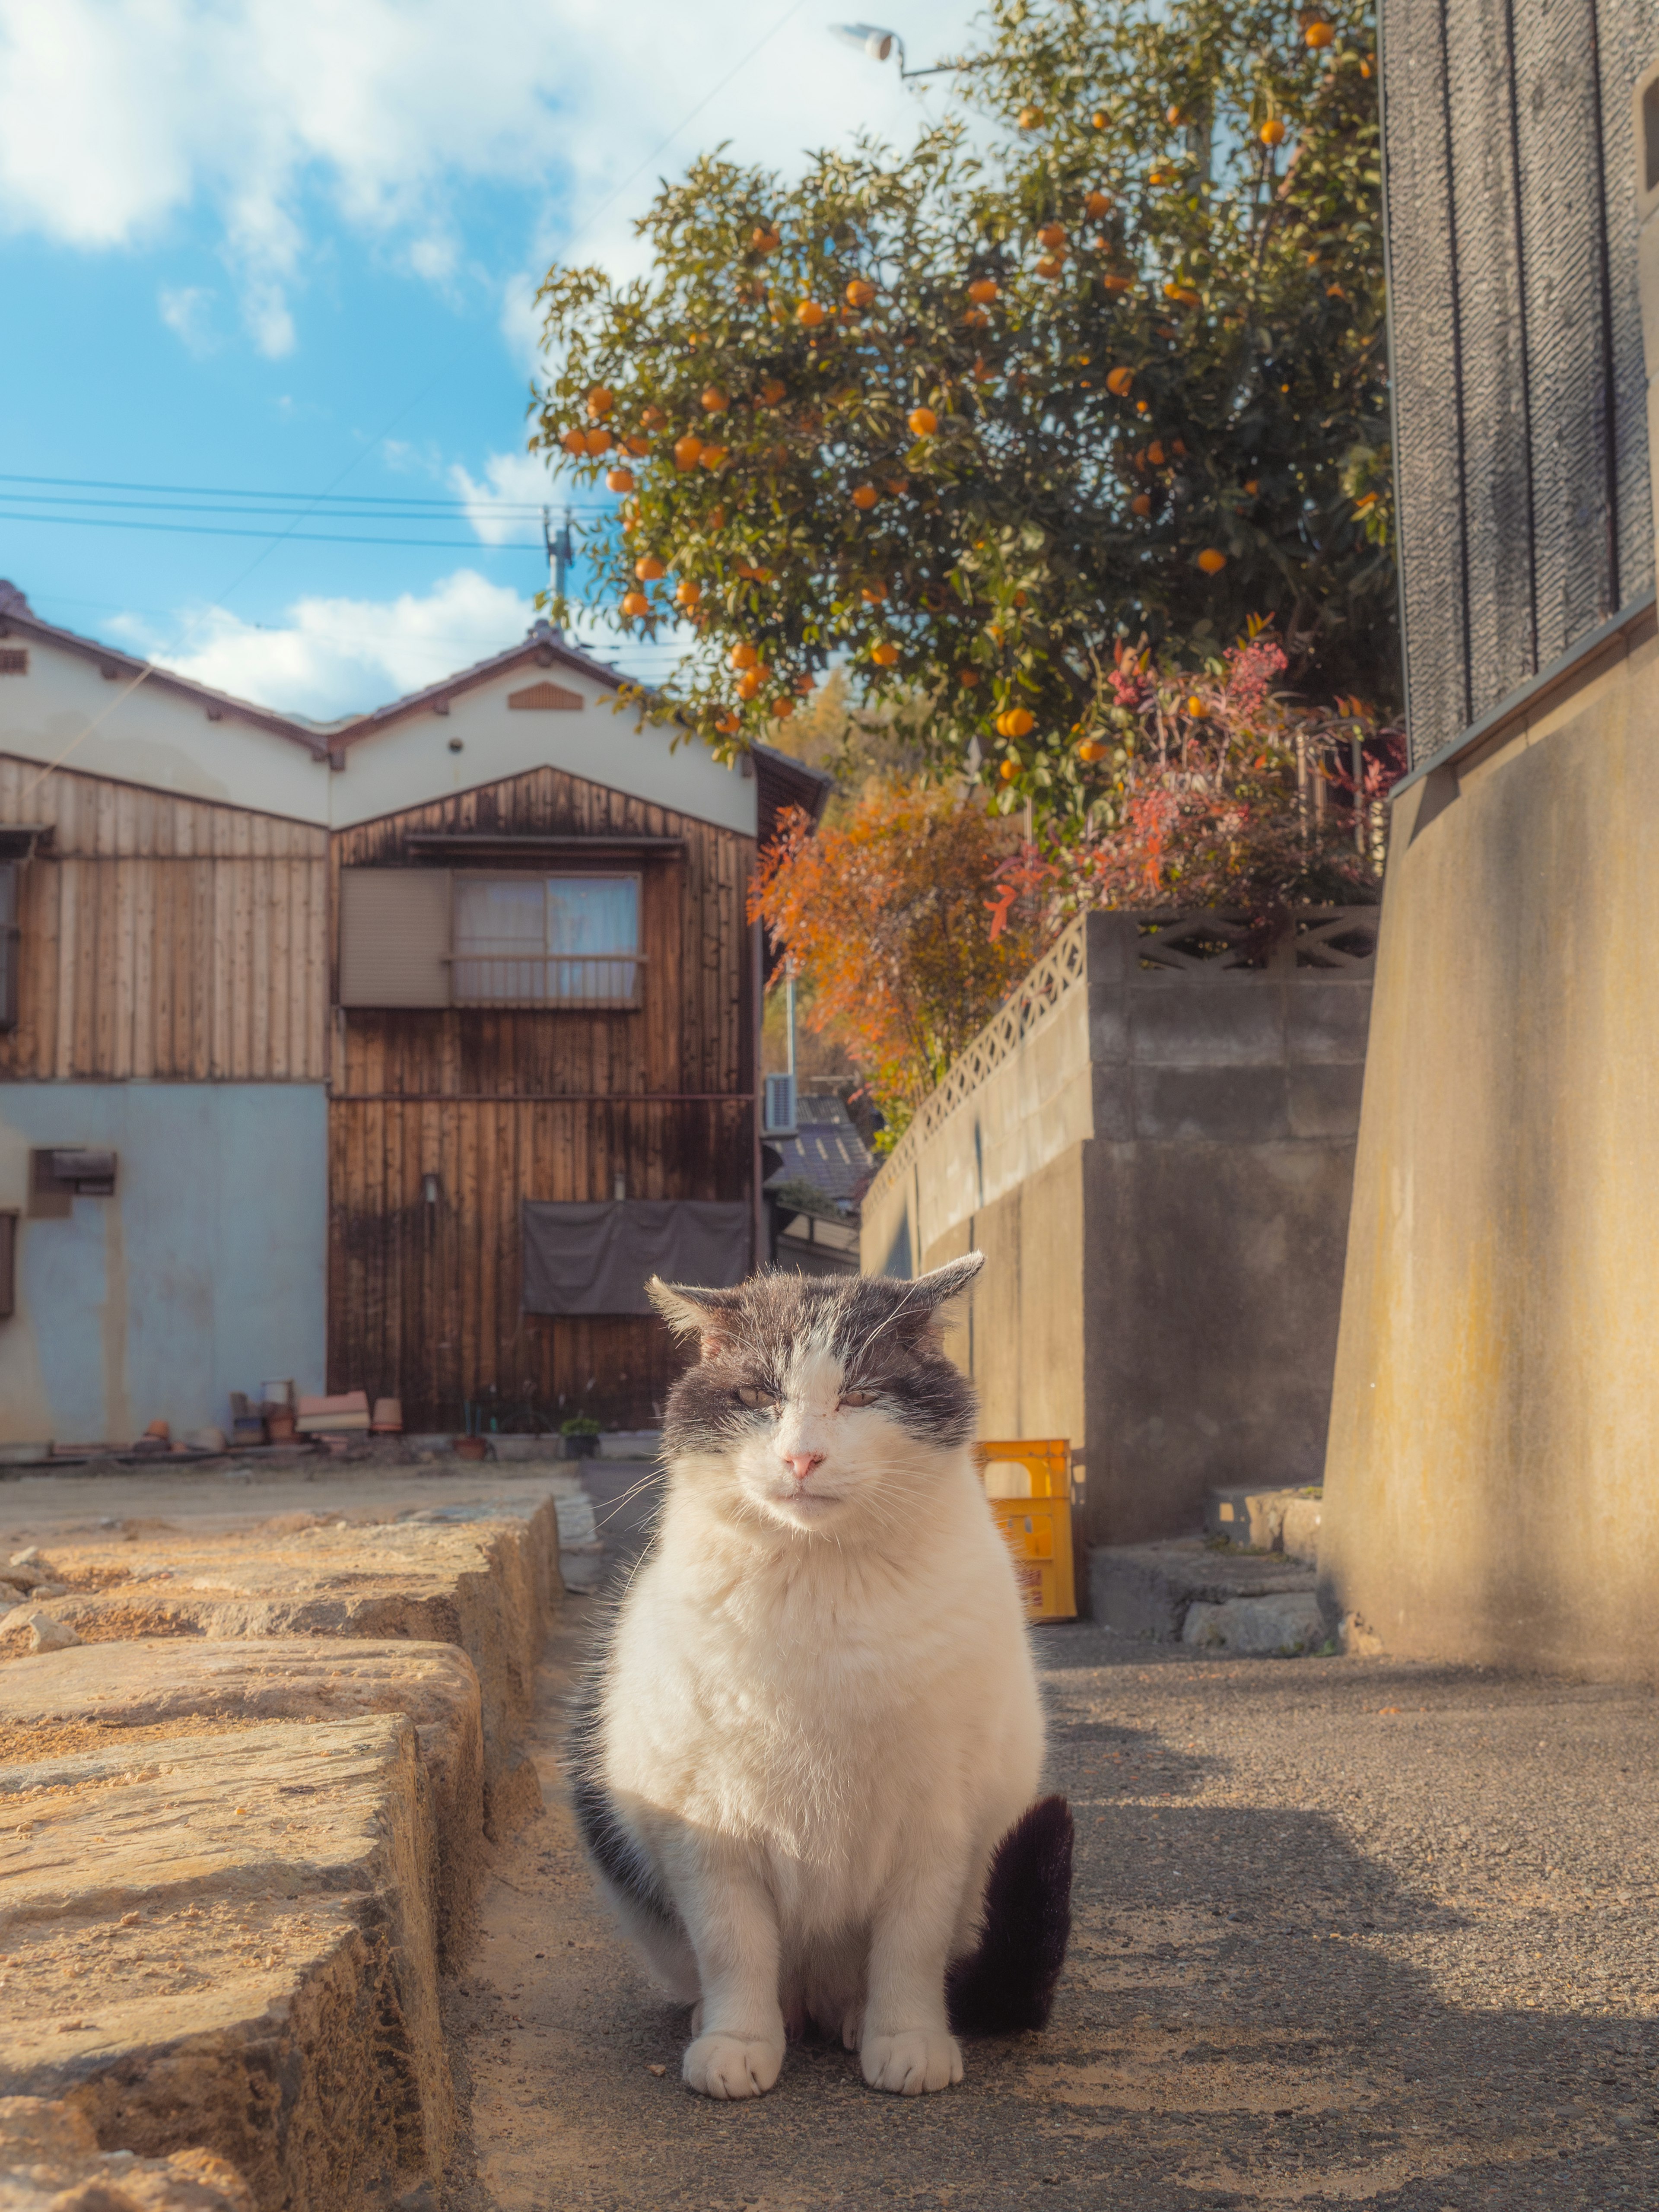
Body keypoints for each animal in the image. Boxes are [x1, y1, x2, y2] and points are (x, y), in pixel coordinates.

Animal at [570, 1256, 1071, 2097]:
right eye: (756, 1398)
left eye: (862, 1396)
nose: (801, 1457)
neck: (822, 1590)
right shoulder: (705, 1824)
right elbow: (733, 1945)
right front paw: (738, 2040)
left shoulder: (939, 1819)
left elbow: (911, 1947)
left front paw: (907, 2038)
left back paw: (853, 2018)